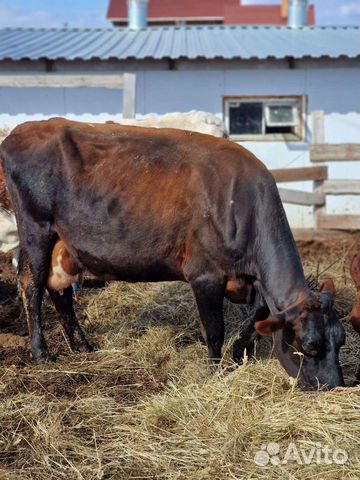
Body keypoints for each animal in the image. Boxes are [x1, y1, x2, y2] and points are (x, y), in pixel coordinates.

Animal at [1, 119, 348, 390]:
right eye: (309, 346)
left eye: (341, 339)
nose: (334, 388)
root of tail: (22, 130)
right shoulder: (205, 274)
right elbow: (214, 329)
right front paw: (215, 372)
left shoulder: (251, 278)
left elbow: (261, 313)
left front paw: (241, 351)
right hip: (36, 228)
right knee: (32, 285)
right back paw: (41, 352)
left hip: (63, 243)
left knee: (59, 290)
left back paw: (83, 346)